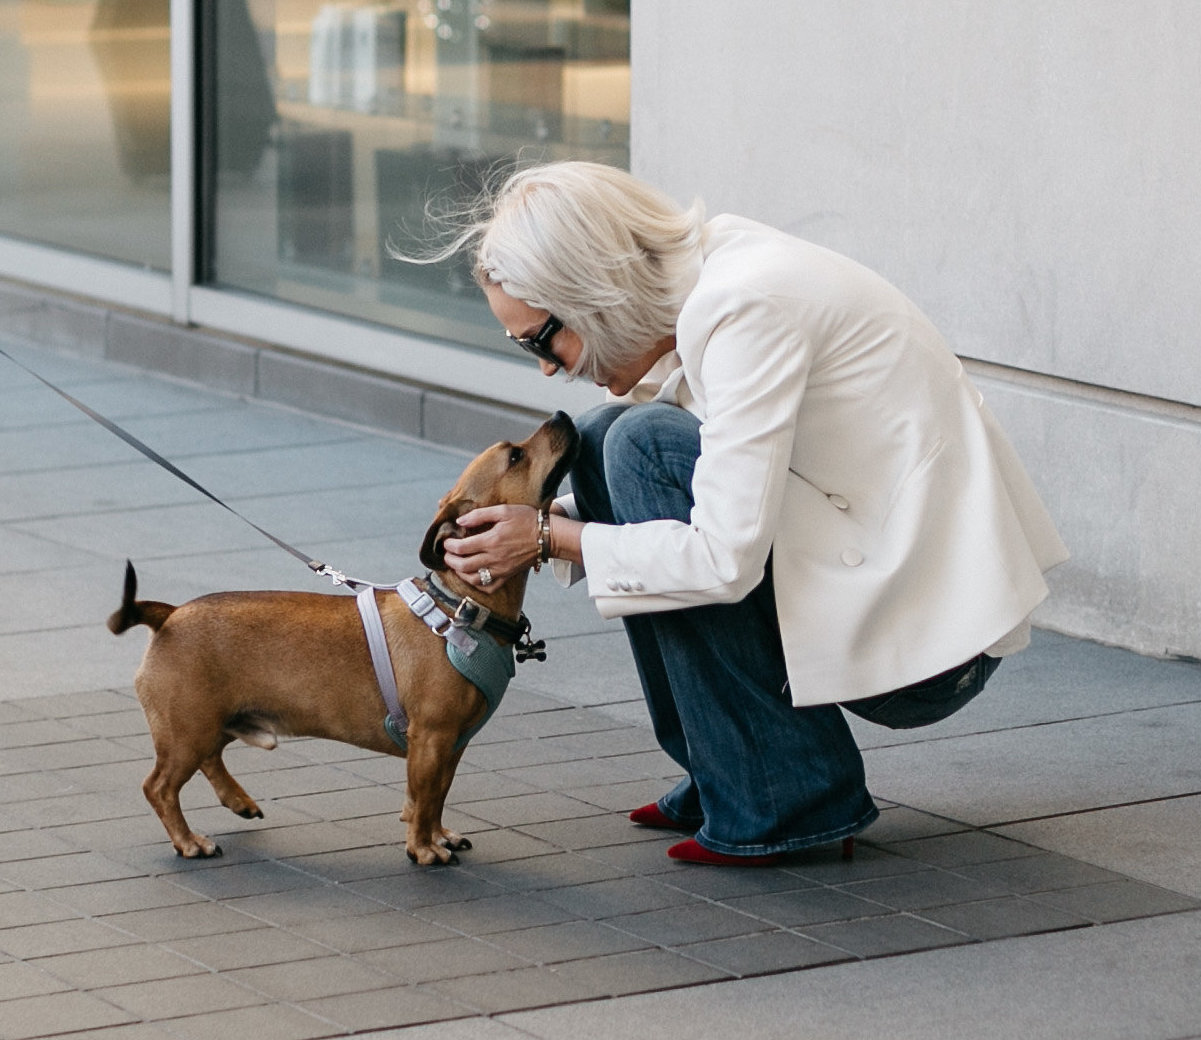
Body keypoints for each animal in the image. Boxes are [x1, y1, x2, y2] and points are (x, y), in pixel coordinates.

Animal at [110, 408, 578, 864]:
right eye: (515, 456)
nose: (561, 412)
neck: (460, 604)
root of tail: (169, 615)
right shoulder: (432, 739)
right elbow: (425, 798)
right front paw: (423, 847)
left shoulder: (450, 748)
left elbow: (435, 797)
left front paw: (438, 834)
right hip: (187, 731)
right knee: (160, 787)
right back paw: (188, 840)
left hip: (210, 725)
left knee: (209, 760)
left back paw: (238, 801)